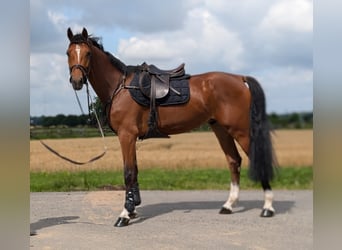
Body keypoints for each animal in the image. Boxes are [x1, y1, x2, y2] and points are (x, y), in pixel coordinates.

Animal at [65, 27, 276, 227]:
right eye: (68, 53)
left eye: (88, 54)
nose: (76, 81)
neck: (120, 87)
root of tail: (239, 78)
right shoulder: (131, 138)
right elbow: (135, 170)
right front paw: (133, 208)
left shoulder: (127, 135)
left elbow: (128, 173)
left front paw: (124, 214)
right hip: (221, 129)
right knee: (233, 161)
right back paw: (229, 205)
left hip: (241, 130)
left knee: (255, 159)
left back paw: (268, 207)